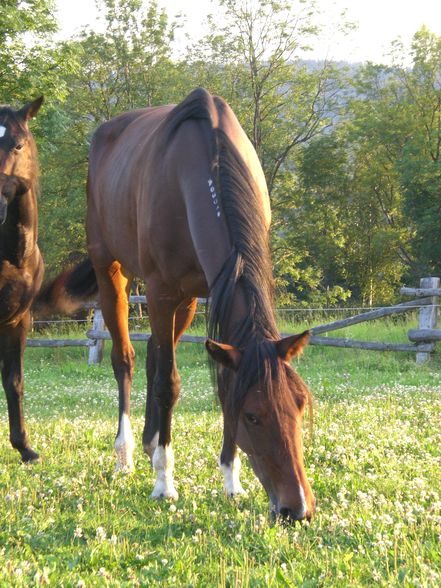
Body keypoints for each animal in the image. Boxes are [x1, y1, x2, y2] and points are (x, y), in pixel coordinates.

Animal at [42, 87, 312, 520]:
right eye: (253, 416)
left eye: (300, 405)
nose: (296, 508)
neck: (202, 167)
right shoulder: (160, 290)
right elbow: (168, 383)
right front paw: (165, 482)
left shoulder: (205, 290)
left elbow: (216, 379)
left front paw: (231, 479)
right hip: (112, 271)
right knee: (126, 359)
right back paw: (126, 454)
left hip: (184, 301)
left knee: (155, 351)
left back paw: (151, 441)